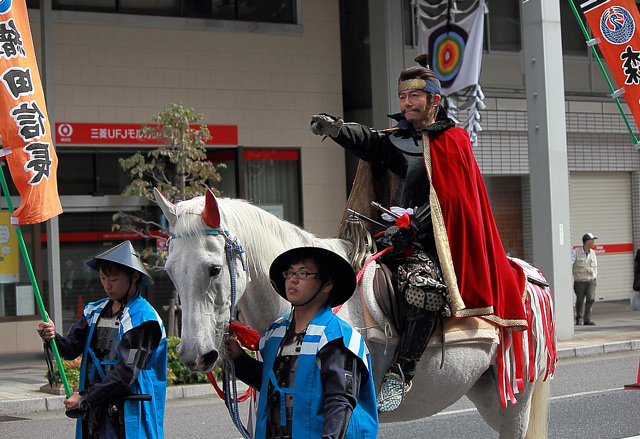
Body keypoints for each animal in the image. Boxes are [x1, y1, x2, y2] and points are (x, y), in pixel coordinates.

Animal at [155, 187, 556, 438]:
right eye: (170, 272)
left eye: (213, 269)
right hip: (488, 393)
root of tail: (531, 275)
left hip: (517, 397)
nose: (194, 355)